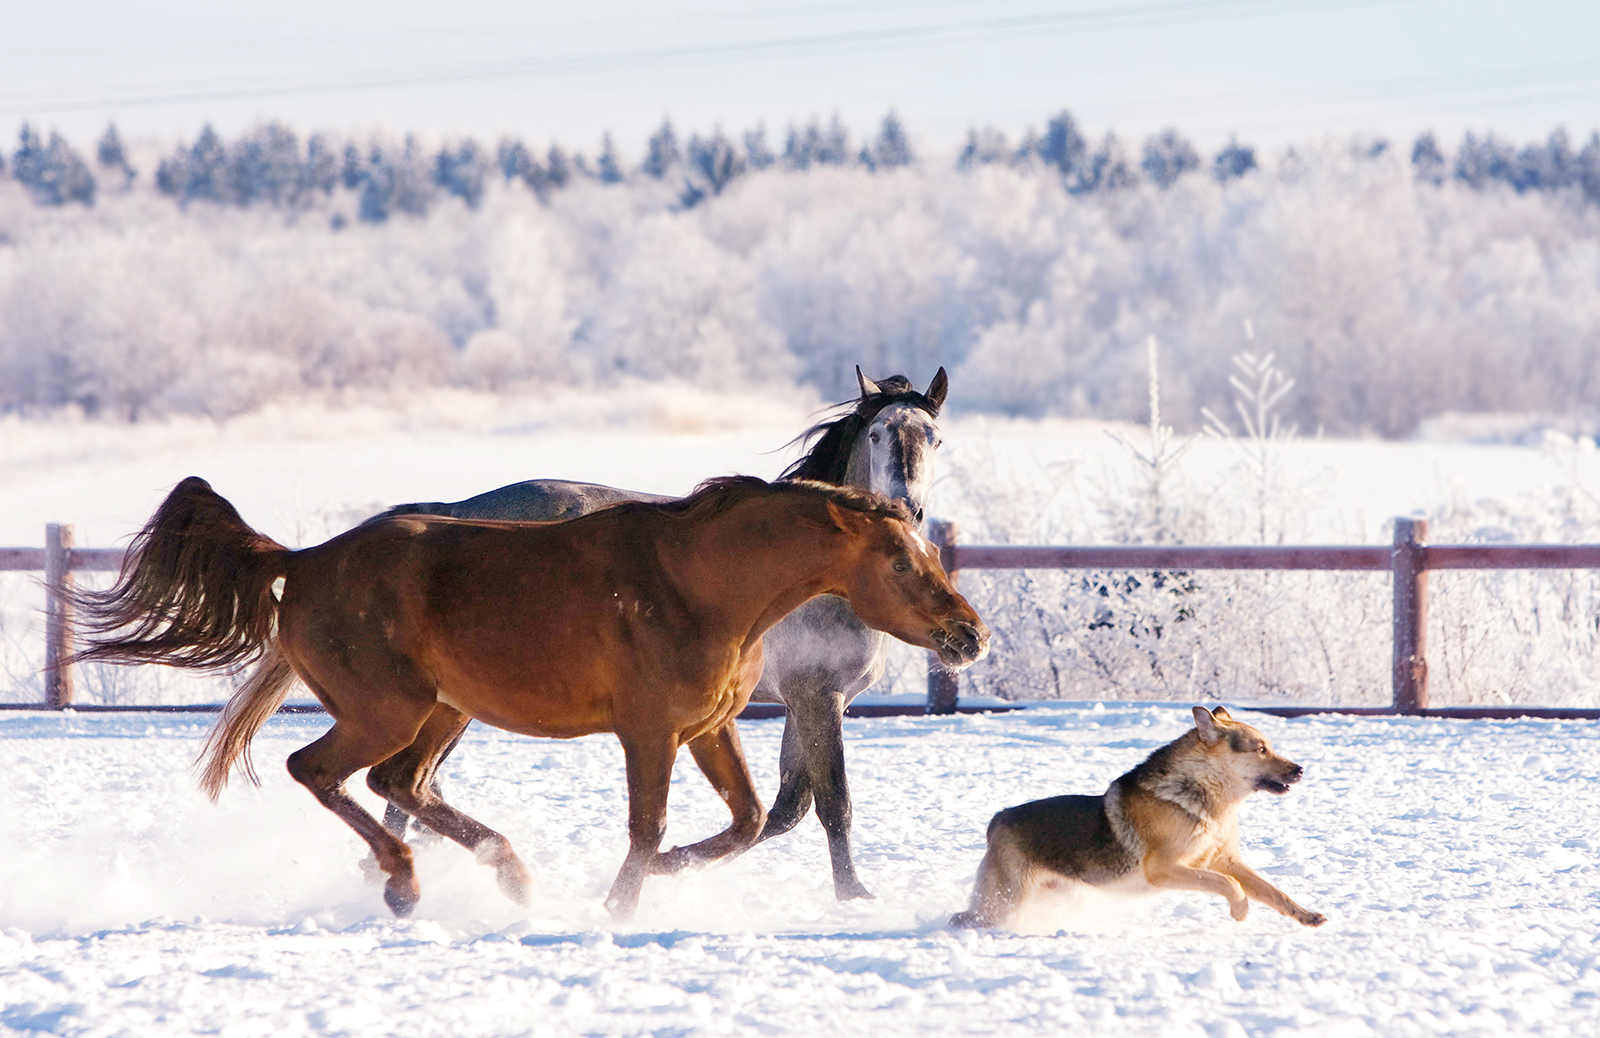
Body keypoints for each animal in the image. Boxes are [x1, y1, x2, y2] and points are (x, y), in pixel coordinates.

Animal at [75, 473, 985, 908]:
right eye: (899, 562)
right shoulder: (649, 731)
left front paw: (658, 882)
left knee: (399, 783)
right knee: (322, 771)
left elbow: (748, 821)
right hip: (387, 711)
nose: (968, 635)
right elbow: (649, 826)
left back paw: (507, 872)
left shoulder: (706, 728)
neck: (699, 585)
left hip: (442, 711)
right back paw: (405, 885)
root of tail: (299, 562)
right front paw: (620, 905)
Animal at [371, 366, 947, 895]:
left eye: (934, 437)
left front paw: (667, 864)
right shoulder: (816, 696)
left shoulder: (810, 701)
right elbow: (831, 801)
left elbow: (786, 808)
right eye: (876, 434)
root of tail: (453, 512)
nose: (908, 509)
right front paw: (853, 896)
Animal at [947, 703, 1324, 934]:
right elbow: (1229, 885)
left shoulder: (1225, 860)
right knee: (966, 918)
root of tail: (997, 820)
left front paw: (1306, 915)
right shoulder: (1166, 870)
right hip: (1006, 902)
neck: (1205, 794)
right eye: (1260, 749)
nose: (1301, 770)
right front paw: (1240, 910)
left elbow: (1274, 892)